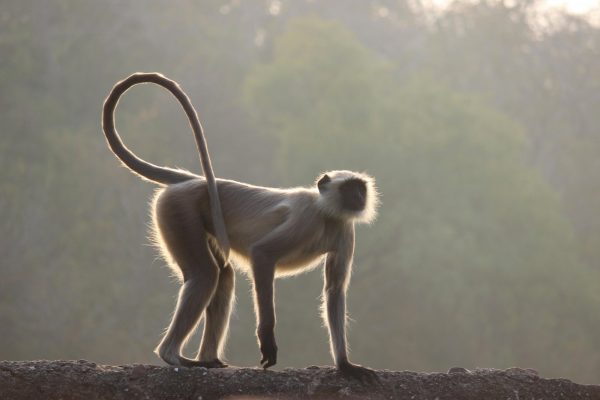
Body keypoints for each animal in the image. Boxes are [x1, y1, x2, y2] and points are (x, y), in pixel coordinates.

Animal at [102, 72, 380, 382]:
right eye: (349, 189)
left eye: (360, 188)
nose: (359, 197)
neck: (326, 213)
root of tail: (193, 181)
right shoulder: (305, 218)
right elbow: (263, 254)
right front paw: (267, 339)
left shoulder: (344, 230)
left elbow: (334, 290)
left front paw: (344, 365)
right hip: (178, 210)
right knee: (206, 274)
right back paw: (173, 355)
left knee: (223, 275)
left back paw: (208, 360)